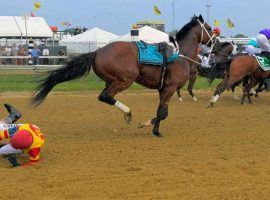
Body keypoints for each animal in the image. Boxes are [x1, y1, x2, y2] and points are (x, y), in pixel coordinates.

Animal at [32, 14, 213, 137]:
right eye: (210, 28)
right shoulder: (170, 87)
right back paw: (128, 113)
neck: (180, 54)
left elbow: (162, 111)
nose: (215, 39)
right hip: (125, 79)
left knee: (105, 96)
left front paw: (154, 129)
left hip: (111, 80)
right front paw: (147, 125)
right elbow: (162, 113)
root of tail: (98, 51)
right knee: (105, 96)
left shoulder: (163, 89)